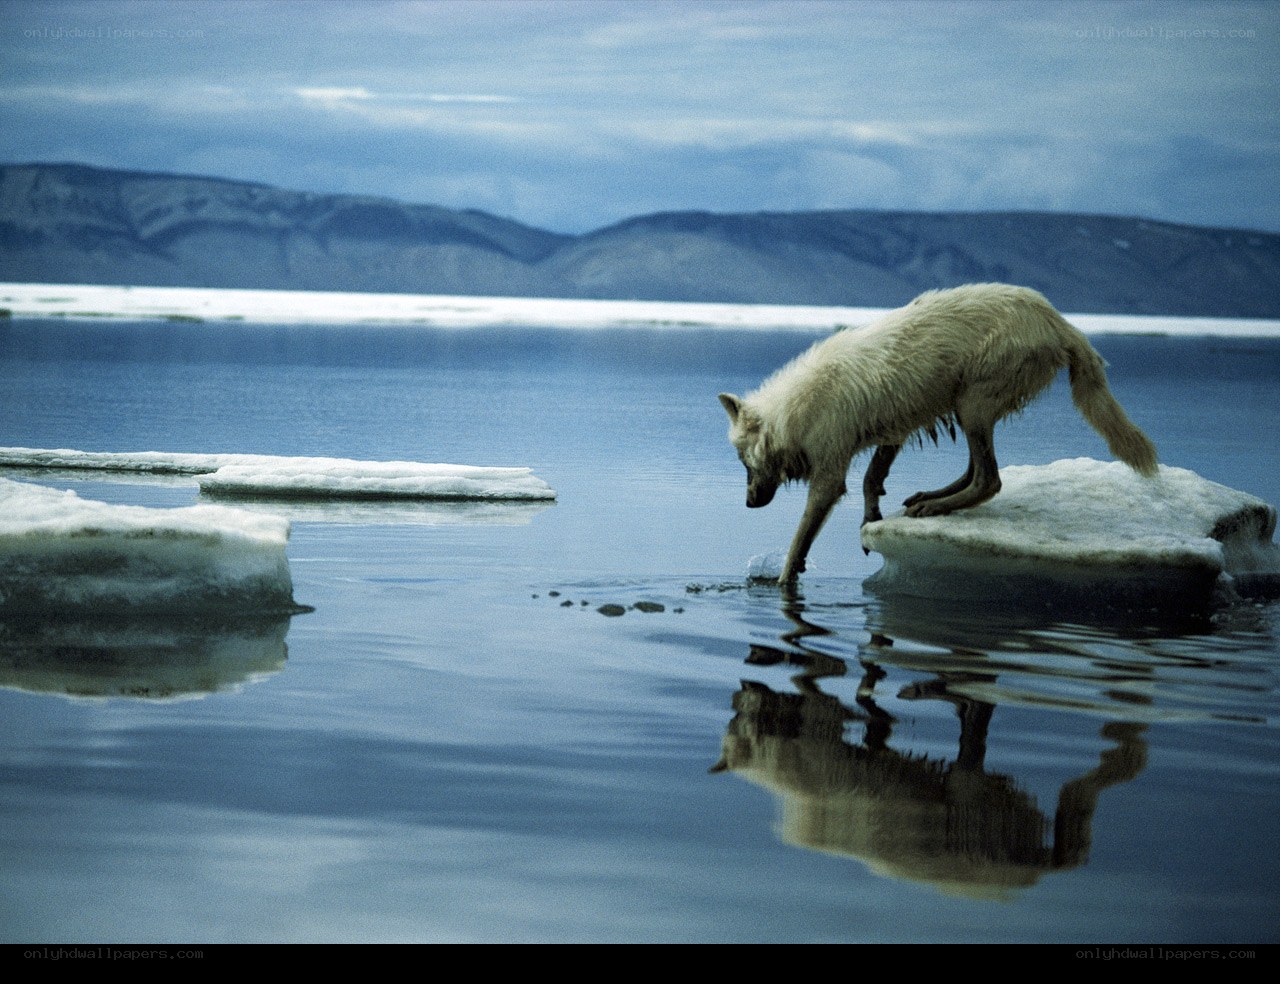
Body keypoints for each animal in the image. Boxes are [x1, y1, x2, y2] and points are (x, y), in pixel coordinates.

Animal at [719, 283, 1158, 585]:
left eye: (743, 461)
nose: (748, 504)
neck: (795, 410)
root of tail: (1058, 320)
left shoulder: (829, 474)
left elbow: (800, 540)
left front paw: (784, 580)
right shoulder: (891, 433)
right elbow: (871, 479)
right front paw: (871, 517)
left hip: (972, 403)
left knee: (989, 479)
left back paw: (935, 506)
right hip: (966, 408)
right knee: (977, 470)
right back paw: (930, 498)